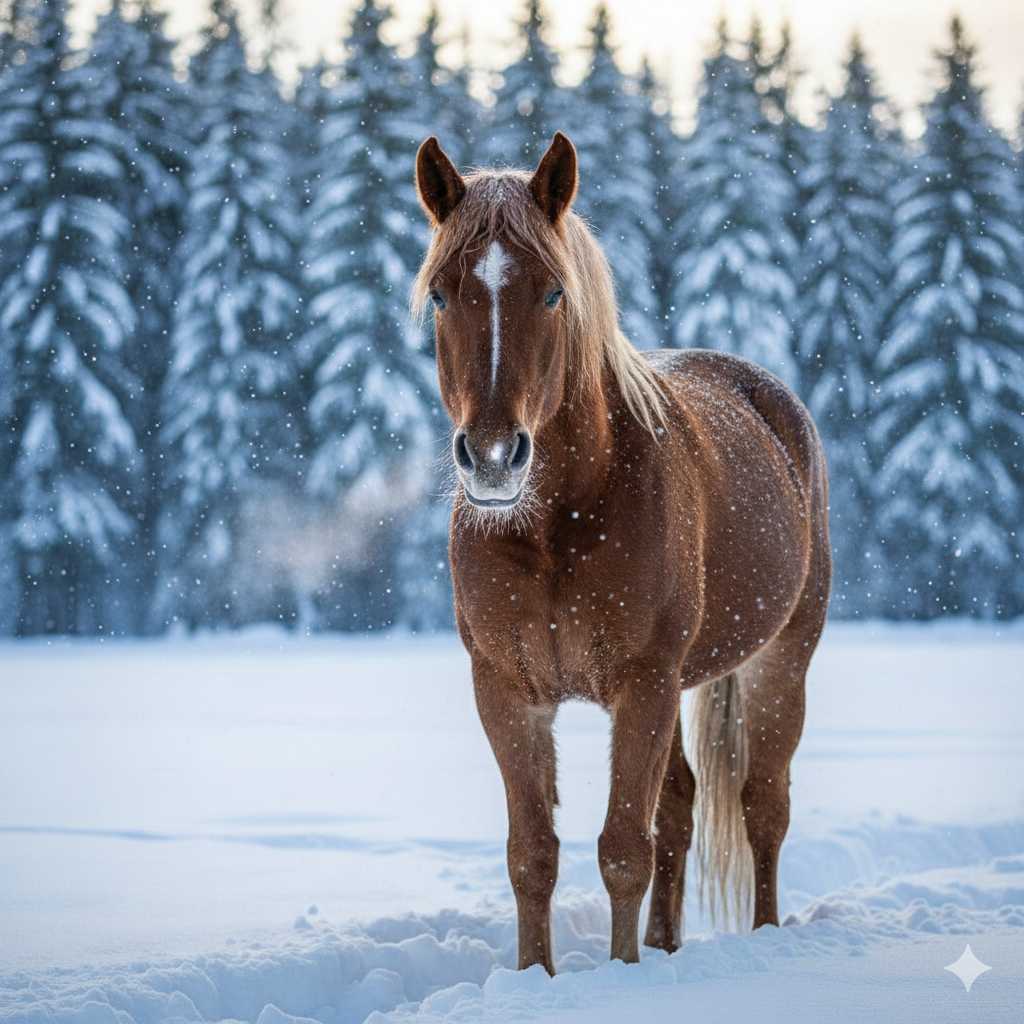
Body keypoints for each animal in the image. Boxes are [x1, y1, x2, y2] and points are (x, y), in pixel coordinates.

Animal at [412, 131, 831, 972]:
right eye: (440, 294)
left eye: (552, 294)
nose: (494, 458)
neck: (555, 525)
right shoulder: (506, 690)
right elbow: (533, 853)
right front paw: (536, 976)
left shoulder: (644, 684)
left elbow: (622, 850)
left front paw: (622, 972)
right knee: (682, 806)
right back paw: (668, 946)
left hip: (780, 658)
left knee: (762, 806)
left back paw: (765, 937)